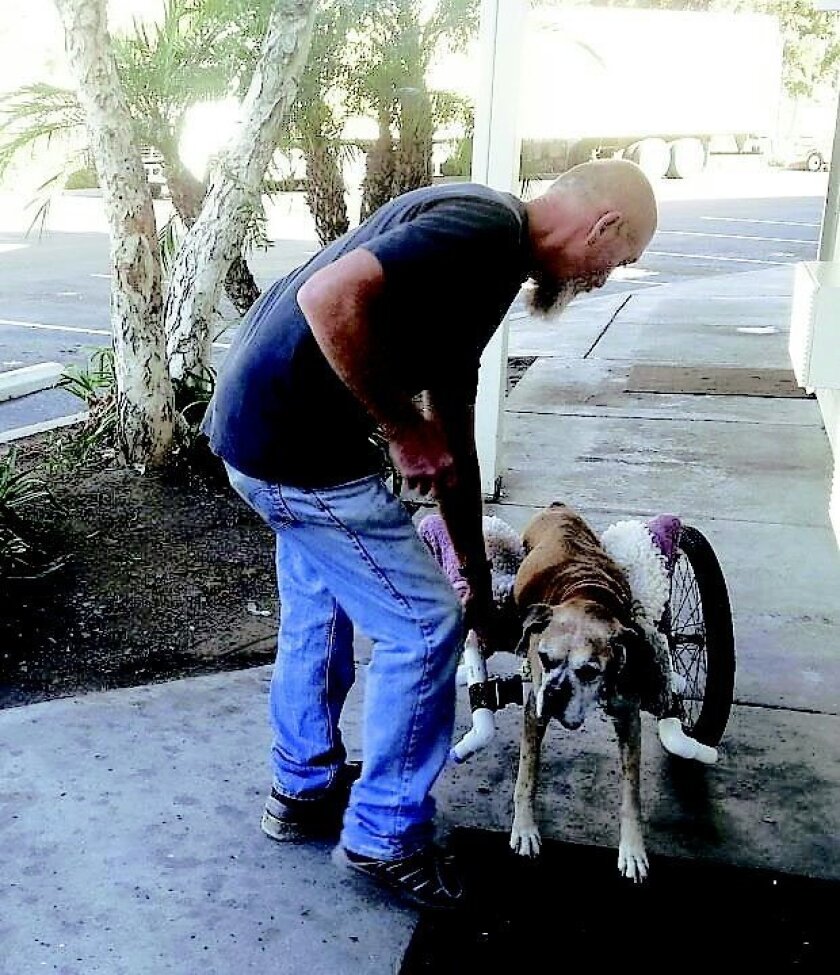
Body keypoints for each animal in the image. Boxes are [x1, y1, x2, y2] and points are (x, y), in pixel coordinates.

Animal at [508, 504, 660, 884]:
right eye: (545, 658)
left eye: (589, 671)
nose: (555, 693)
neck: (588, 596)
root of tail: (556, 508)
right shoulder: (534, 712)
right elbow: (527, 775)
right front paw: (525, 829)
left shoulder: (628, 719)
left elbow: (631, 794)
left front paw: (633, 849)